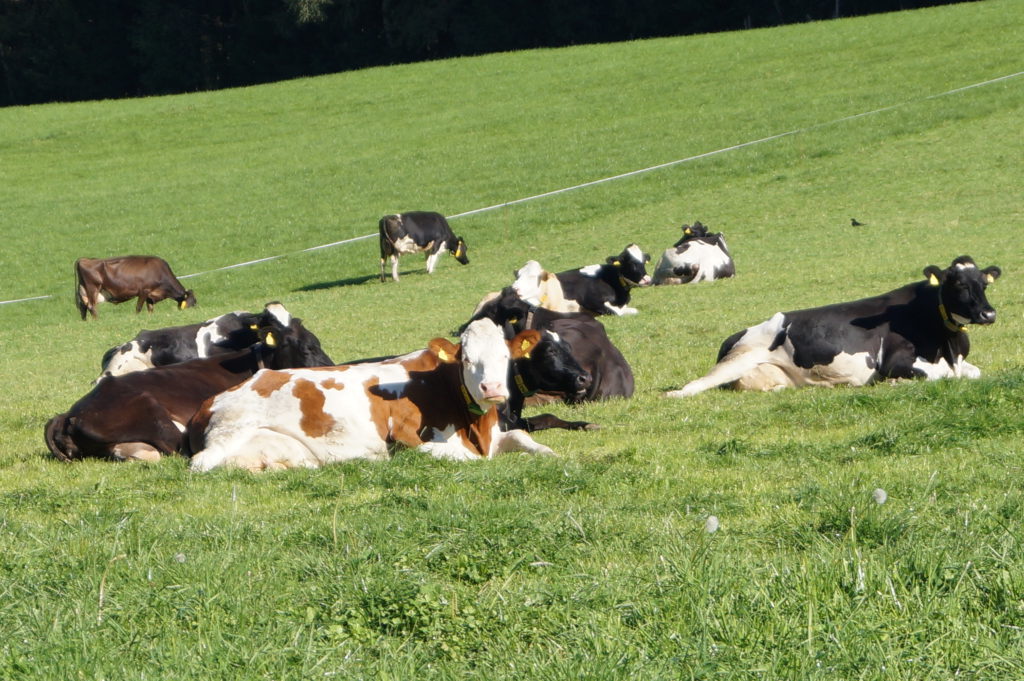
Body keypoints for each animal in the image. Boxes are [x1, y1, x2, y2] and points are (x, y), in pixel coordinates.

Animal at [190, 319, 561, 473]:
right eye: (468, 359)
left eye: (505, 357)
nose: (493, 389)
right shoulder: (405, 435)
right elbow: (461, 457)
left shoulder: (494, 435)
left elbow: (524, 438)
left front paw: (552, 454)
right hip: (230, 431)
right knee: (201, 464)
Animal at [667, 256, 1003, 399]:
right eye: (958, 284)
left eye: (984, 283)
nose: (988, 314)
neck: (948, 345)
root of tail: (736, 333)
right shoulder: (895, 362)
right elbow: (940, 376)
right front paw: (895, 384)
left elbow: (973, 372)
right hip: (737, 359)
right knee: (692, 387)